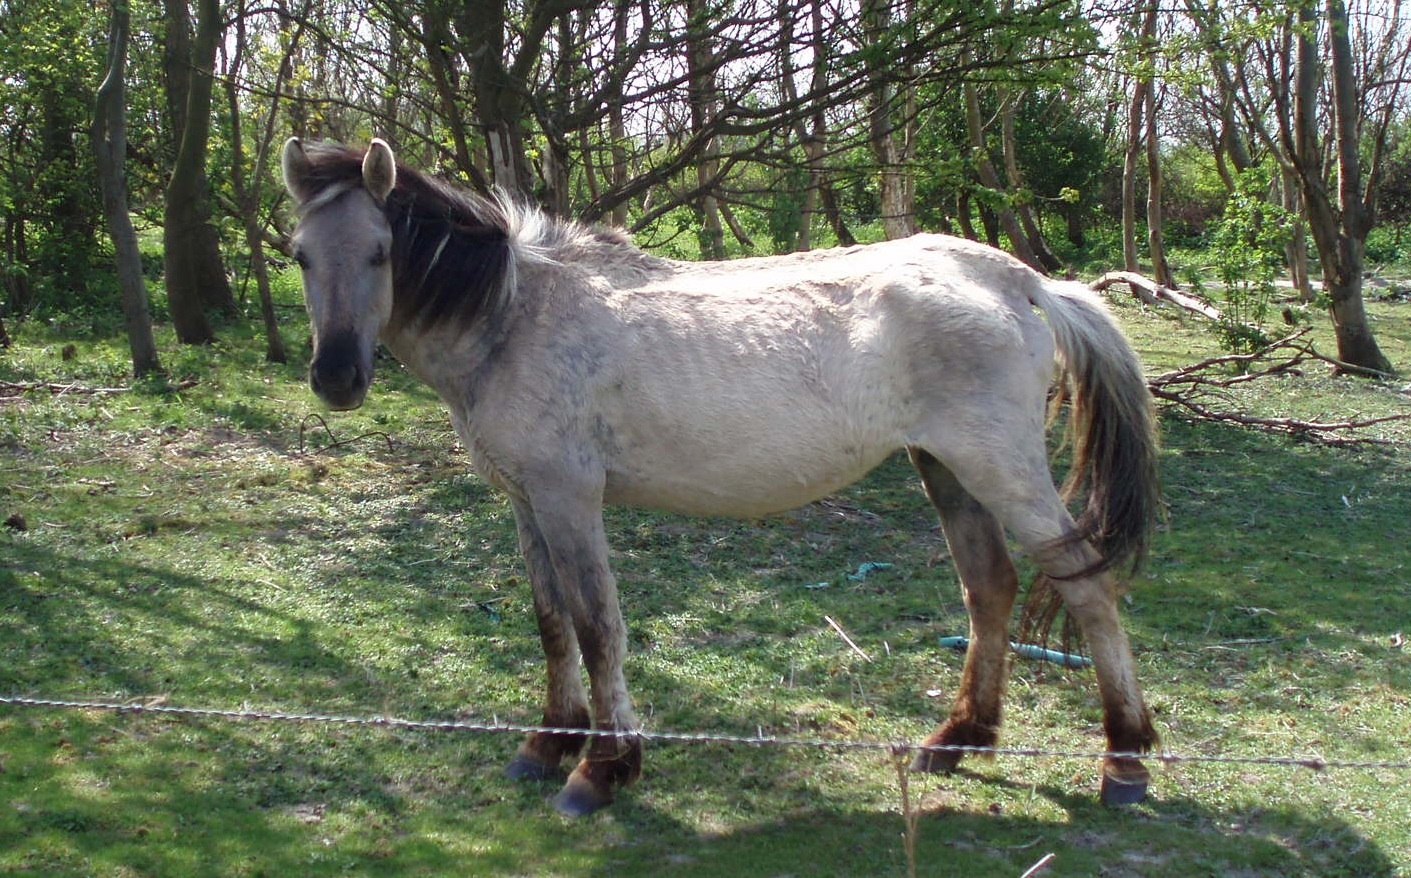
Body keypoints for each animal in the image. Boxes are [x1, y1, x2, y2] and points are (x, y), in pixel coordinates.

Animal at [280, 137, 1162, 817]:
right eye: (299, 255)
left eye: (380, 252)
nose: (336, 378)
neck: (513, 316)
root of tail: (1018, 280)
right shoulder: (526, 502)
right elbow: (551, 621)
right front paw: (547, 741)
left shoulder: (569, 498)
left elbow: (597, 626)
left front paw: (602, 767)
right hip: (945, 468)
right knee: (989, 588)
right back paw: (956, 740)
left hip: (999, 468)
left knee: (1085, 588)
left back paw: (1122, 761)